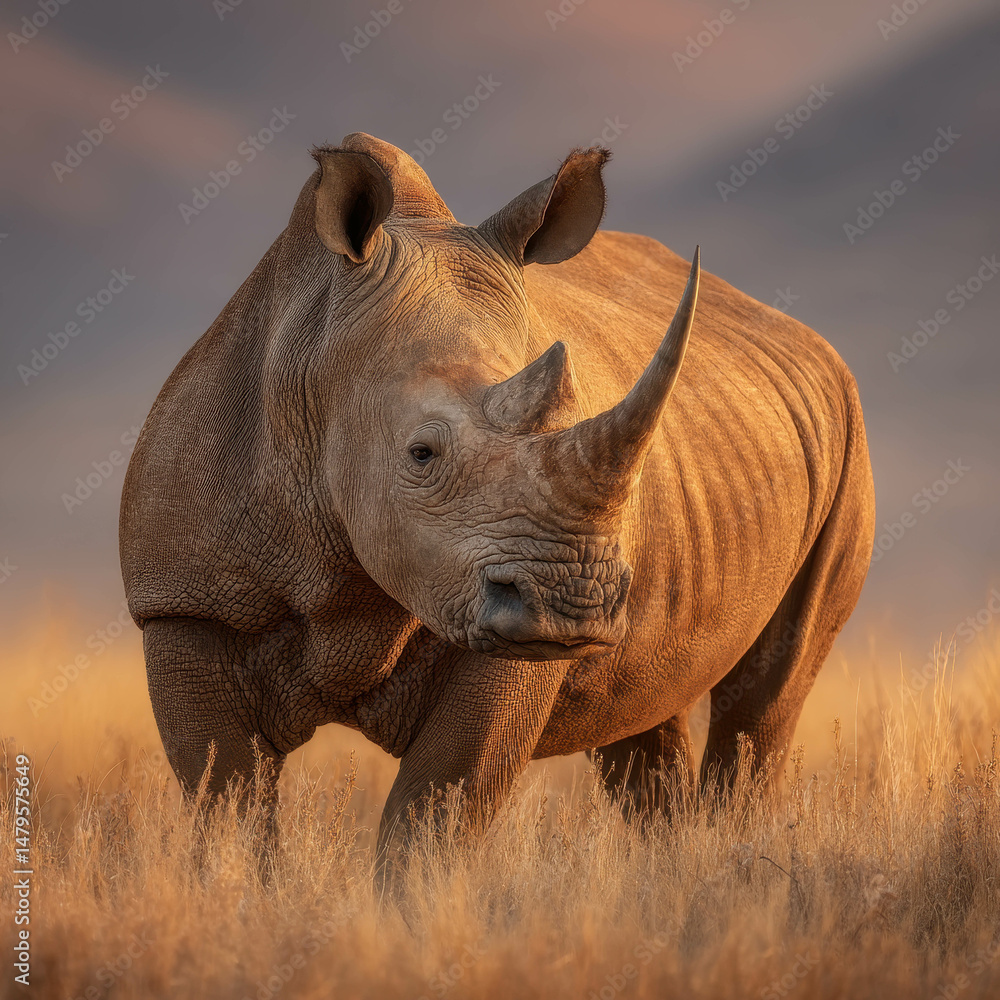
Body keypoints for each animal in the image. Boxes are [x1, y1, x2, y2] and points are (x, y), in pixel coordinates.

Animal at [120, 133, 875, 883]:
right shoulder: (184, 604)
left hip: (848, 434)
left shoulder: (506, 640)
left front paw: (414, 904)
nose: (573, 604)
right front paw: (242, 892)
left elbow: (436, 808)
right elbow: (227, 801)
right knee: (644, 717)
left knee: (767, 696)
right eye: (422, 454)